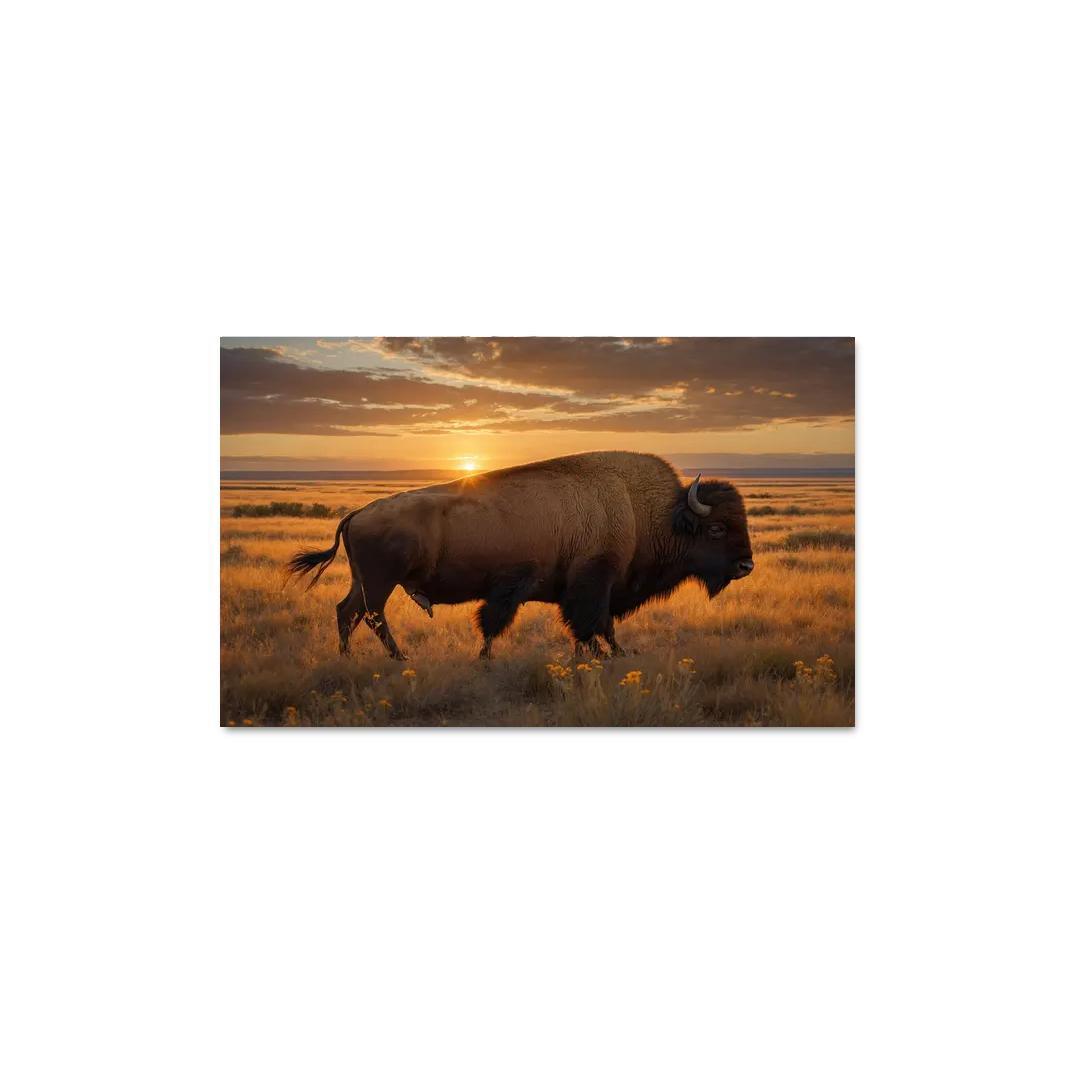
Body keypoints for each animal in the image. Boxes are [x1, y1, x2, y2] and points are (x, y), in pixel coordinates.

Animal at [286, 451, 754, 660]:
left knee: (347, 611)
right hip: (380, 582)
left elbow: (599, 625)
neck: (647, 513)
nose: (746, 565)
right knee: (369, 615)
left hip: (364, 581)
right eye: (716, 528)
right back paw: (397, 658)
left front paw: (614, 654)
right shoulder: (591, 582)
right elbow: (589, 622)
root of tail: (358, 513)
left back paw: (349, 658)